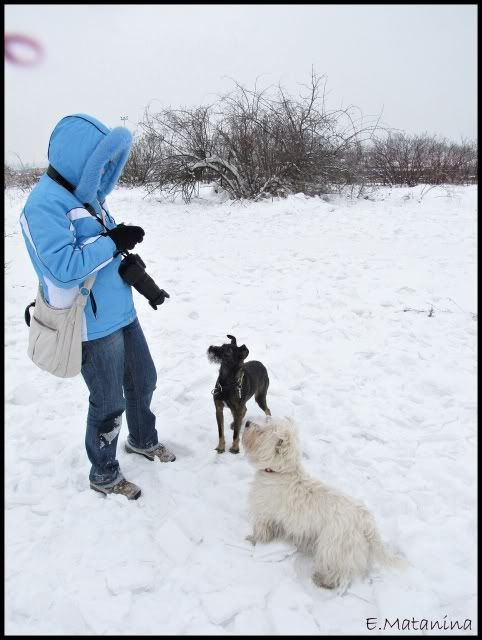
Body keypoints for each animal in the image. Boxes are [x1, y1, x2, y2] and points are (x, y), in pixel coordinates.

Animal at [242, 417, 404, 591]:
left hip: (333, 545)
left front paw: (253, 539)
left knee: (338, 571)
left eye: (262, 431)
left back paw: (323, 580)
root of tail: (366, 520)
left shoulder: (264, 513)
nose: (247, 422)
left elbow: (261, 530)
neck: (279, 472)